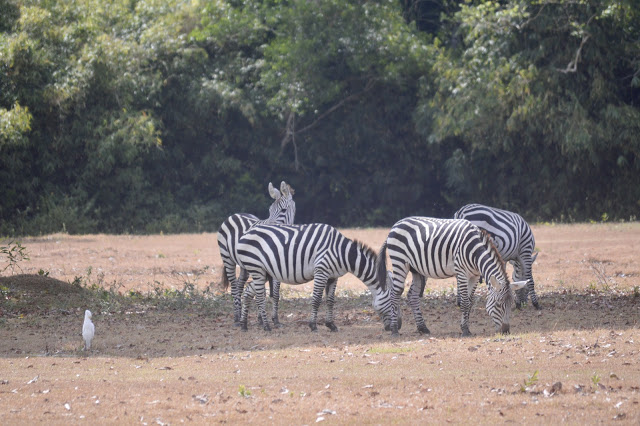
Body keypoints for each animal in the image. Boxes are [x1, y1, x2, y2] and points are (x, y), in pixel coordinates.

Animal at [215, 181, 296, 324]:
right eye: (269, 210)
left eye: (283, 210)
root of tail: (235, 214)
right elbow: (263, 292)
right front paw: (264, 319)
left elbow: (275, 293)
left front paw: (273, 319)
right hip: (227, 258)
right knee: (234, 286)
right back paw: (237, 318)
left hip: (244, 264)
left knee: (240, 285)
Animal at [235, 223, 396, 332]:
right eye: (393, 302)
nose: (397, 326)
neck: (342, 252)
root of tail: (244, 234)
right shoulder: (321, 271)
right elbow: (317, 300)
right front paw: (313, 325)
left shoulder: (333, 276)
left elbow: (330, 301)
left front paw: (331, 325)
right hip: (256, 268)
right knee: (259, 297)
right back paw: (267, 326)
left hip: (263, 271)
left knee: (248, 292)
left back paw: (243, 324)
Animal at [376, 218, 524, 338]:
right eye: (498, 304)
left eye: (511, 304)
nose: (506, 331)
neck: (475, 252)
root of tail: (396, 225)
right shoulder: (462, 273)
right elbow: (464, 302)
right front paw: (465, 330)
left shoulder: (475, 275)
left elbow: (470, 302)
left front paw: (466, 327)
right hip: (400, 262)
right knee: (395, 294)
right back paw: (395, 330)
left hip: (416, 269)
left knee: (412, 295)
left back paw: (423, 328)